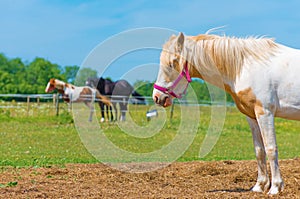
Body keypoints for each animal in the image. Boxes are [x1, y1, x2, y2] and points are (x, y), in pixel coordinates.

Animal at [152, 31, 300, 194]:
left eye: (172, 63)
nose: (157, 97)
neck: (245, 68)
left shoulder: (265, 113)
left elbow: (271, 148)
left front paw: (275, 188)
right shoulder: (251, 116)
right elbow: (259, 150)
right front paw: (259, 186)